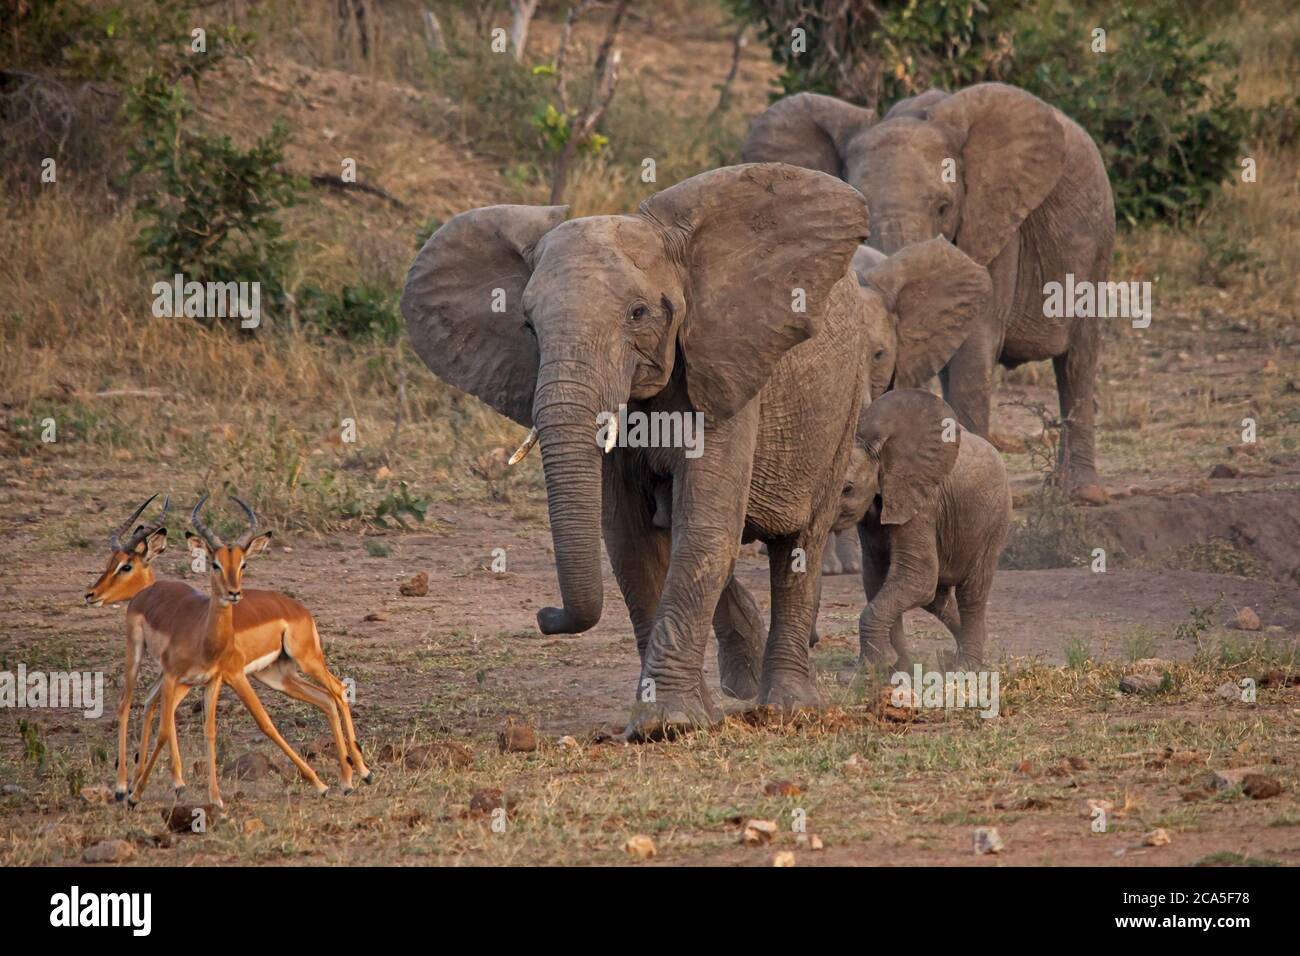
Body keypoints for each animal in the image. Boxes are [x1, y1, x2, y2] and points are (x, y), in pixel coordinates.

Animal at [85, 494, 372, 807]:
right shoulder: (185, 679)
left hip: (301, 663)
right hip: (276, 675)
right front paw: (165, 787)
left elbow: (261, 723)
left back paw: (359, 774)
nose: (90, 594)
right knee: (327, 698)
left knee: (336, 690)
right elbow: (170, 720)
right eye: (215, 564)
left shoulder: (226, 676)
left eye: (126, 566)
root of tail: (299, 610)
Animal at [401, 163, 875, 735]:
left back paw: (787, 708)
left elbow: (706, 525)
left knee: (801, 542)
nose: (544, 616)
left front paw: (668, 723)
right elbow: (630, 538)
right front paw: (670, 723)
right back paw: (735, 692)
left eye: (638, 313)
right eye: (528, 326)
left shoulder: (724, 369)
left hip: (844, 399)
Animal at [742, 82, 1115, 499]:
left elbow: (975, 345)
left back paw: (1080, 493)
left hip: (1097, 244)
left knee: (1077, 360)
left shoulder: (993, 220)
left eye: (943, 207)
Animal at [833, 388, 1011, 673]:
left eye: (848, 489)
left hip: (994, 521)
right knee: (936, 598)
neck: (879, 446)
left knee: (971, 593)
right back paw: (966, 654)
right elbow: (877, 577)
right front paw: (897, 668)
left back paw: (966, 668)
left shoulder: (922, 503)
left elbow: (917, 576)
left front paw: (872, 667)